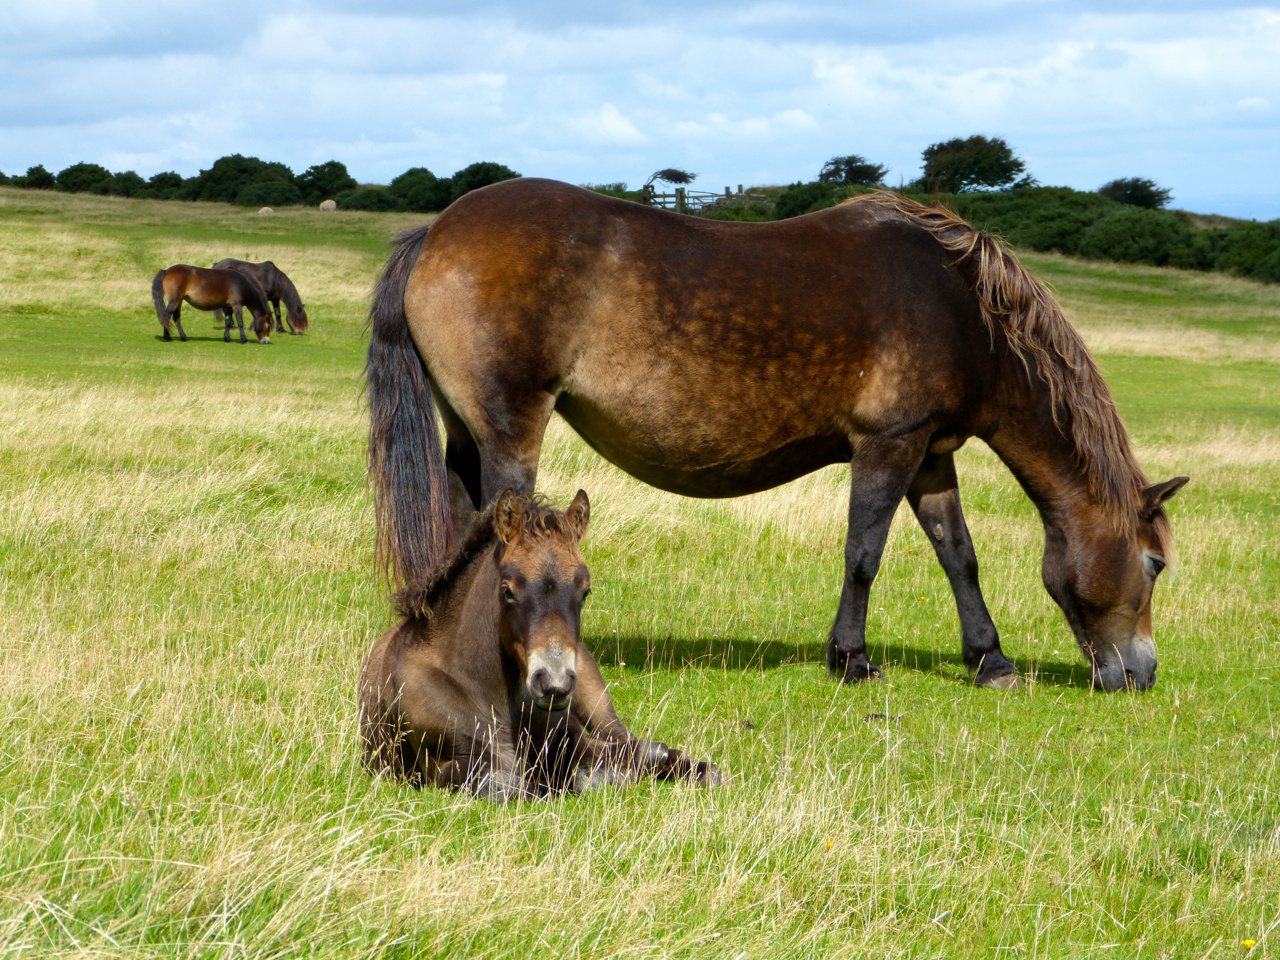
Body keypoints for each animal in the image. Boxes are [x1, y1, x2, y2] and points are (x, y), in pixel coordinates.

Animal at [358, 491, 721, 798]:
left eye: (585, 591)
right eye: (507, 590)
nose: (554, 683)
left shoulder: (569, 736)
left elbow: (600, 769)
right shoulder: (446, 765)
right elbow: (515, 786)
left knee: (631, 741)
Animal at [363, 179, 1187, 691]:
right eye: (1154, 564)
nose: (1140, 673)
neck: (961, 308)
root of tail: (436, 230)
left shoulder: (930, 454)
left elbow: (959, 556)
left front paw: (990, 660)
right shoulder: (888, 445)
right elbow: (864, 555)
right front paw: (851, 659)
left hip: (468, 435)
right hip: (511, 429)